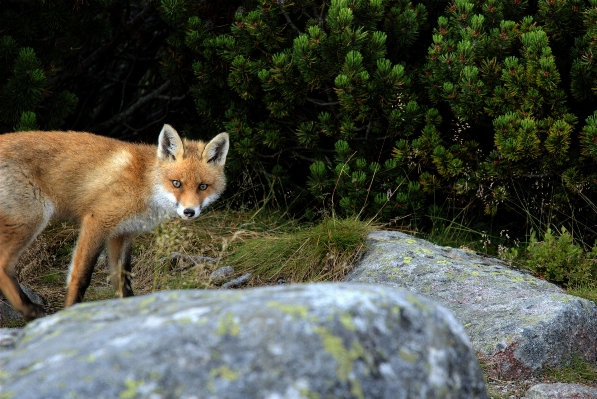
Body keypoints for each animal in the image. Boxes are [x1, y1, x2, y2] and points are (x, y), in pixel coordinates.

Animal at [0, 125, 228, 322]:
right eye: (176, 183)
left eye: (203, 186)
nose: (189, 212)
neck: (144, 182)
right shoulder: (97, 221)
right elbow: (80, 277)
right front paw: (70, 312)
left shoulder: (122, 234)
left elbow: (124, 282)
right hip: (31, 219)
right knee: (3, 265)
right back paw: (28, 309)